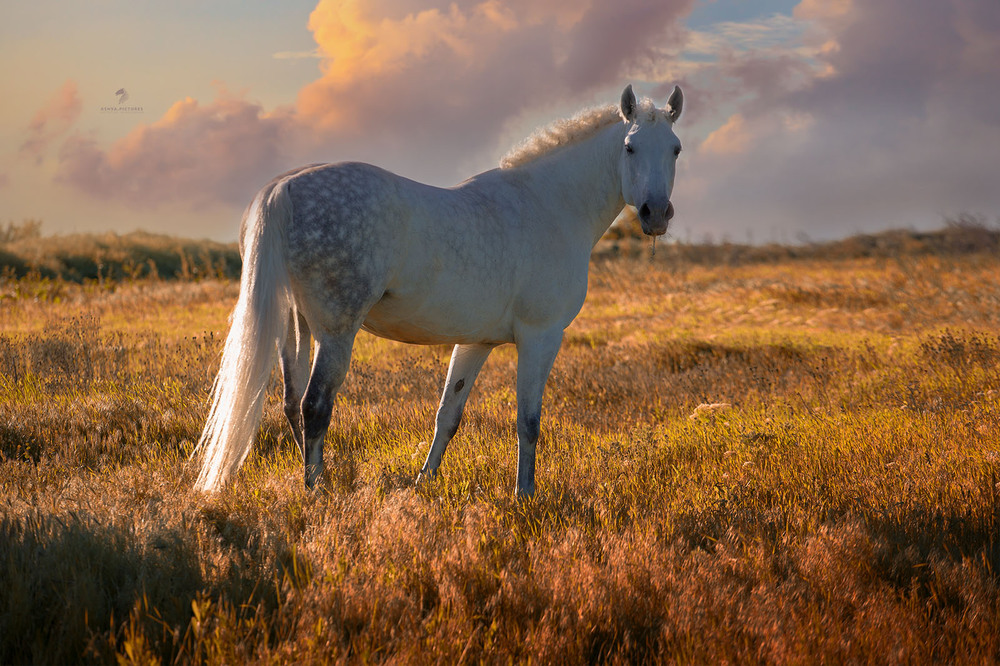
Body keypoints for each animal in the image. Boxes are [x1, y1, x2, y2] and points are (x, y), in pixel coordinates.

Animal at [193, 84, 680, 492]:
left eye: (675, 149)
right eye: (630, 147)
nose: (656, 214)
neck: (549, 204)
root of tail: (283, 187)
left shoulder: (476, 342)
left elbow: (448, 414)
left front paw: (423, 482)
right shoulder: (540, 337)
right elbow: (528, 422)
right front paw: (525, 495)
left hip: (296, 325)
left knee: (293, 405)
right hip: (335, 334)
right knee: (315, 407)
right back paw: (318, 491)